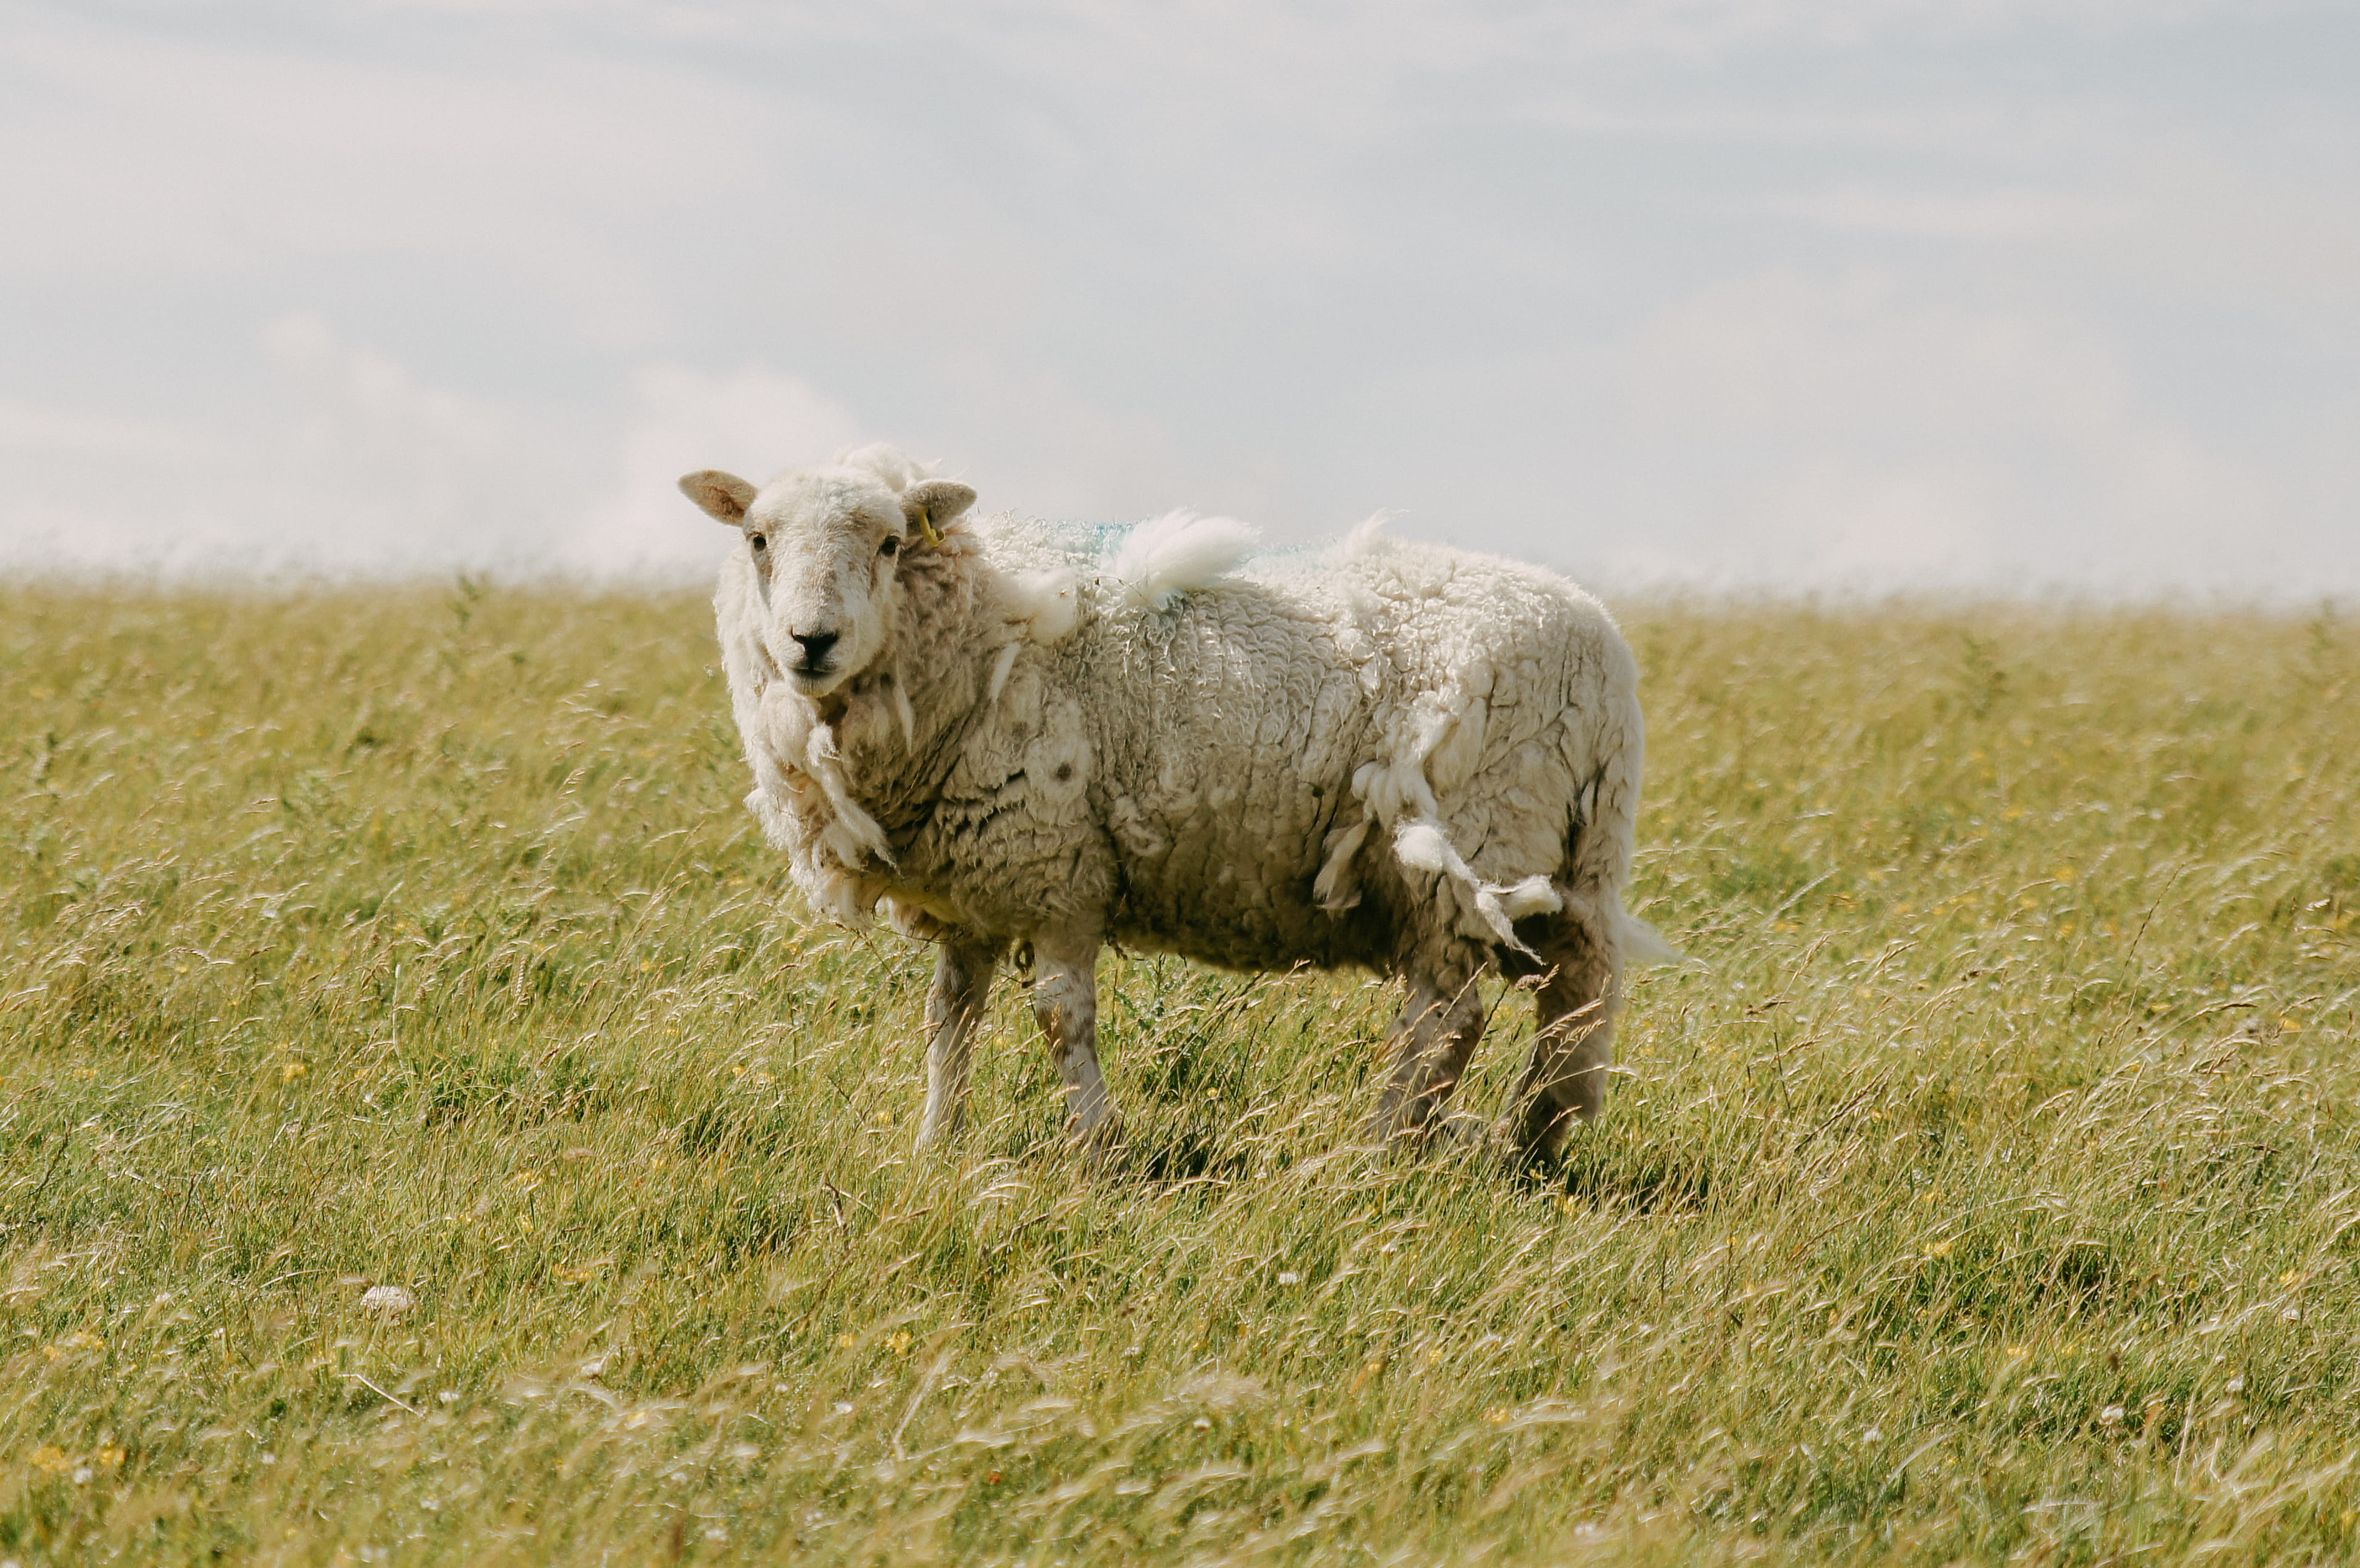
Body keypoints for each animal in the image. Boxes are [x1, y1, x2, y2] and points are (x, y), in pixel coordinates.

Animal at [678, 444, 1678, 1163]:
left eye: (890, 544)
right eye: (757, 539)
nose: (811, 640)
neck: (975, 626)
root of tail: (1608, 659)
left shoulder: (1058, 867)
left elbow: (1059, 1016)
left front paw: (1097, 1150)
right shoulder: (973, 884)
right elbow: (948, 1019)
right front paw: (935, 1148)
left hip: (1471, 851)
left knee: (1446, 1019)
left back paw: (1382, 1152)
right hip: (1559, 866)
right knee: (1567, 1014)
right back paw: (1525, 1148)